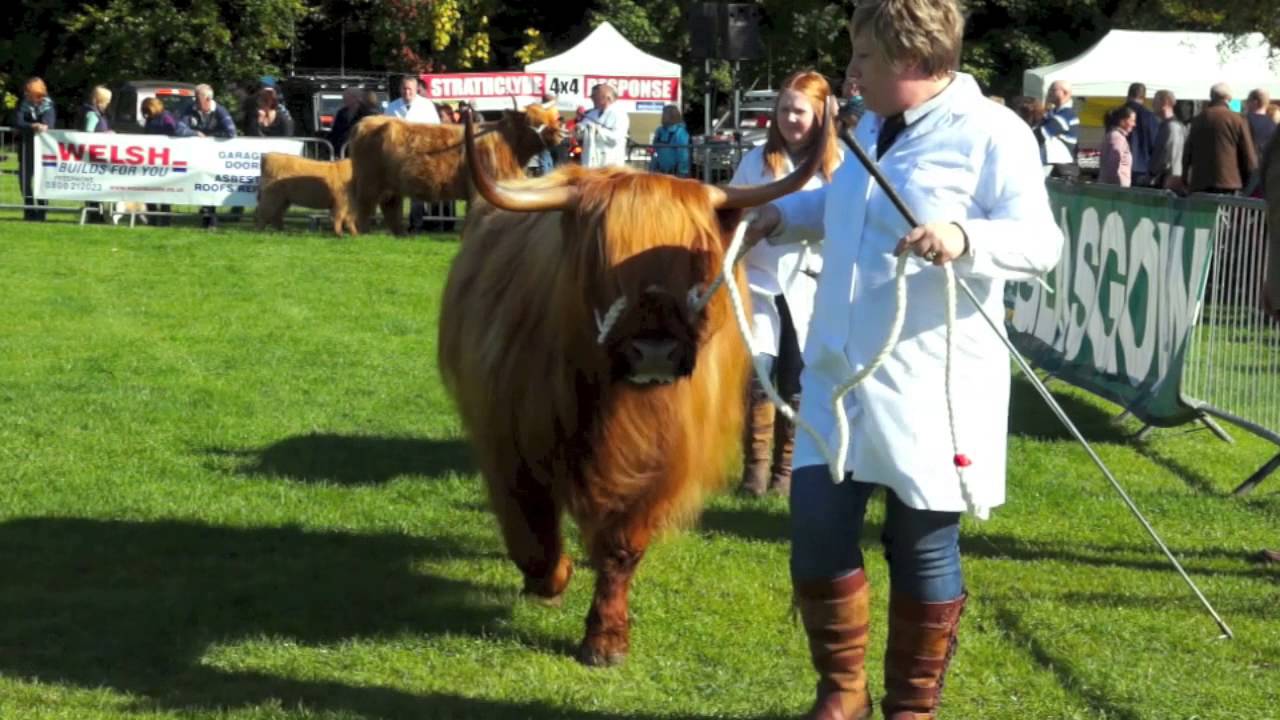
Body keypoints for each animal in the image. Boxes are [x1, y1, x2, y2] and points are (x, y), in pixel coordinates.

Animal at [347, 102, 562, 236]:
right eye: (532, 122)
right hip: (369, 183)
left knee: (390, 209)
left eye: (553, 117)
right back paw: (361, 234)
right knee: (362, 209)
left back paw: (399, 235)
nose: (560, 133)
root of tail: (364, 122)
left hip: (391, 188)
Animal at [437, 109, 829, 666]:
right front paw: (551, 581)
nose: (656, 351)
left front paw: (606, 637)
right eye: (603, 258)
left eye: (697, 262)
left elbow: (622, 547)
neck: (613, 405)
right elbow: (531, 532)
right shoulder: (509, 446)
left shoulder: (659, 464)